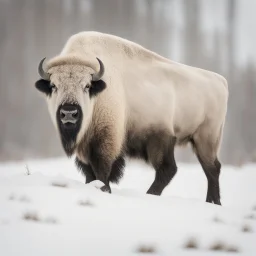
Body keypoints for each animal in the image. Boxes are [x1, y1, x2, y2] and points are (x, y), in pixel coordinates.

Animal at [34, 31, 228, 204]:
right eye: (53, 85)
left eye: (87, 86)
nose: (69, 113)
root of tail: (221, 82)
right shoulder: (84, 147)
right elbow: (89, 173)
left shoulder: (106, 140)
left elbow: (102, 170)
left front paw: (105, 190)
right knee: (202, 169)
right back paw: (212, 202)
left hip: (199, 139)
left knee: (199, 169)